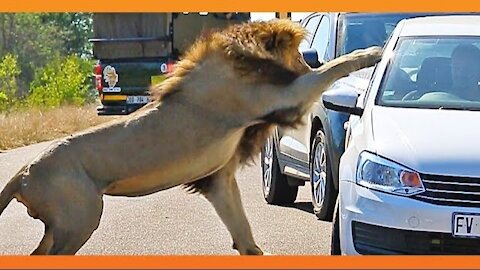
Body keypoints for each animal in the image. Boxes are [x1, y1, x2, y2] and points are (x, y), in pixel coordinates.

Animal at [0, 19, 382, 255]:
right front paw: (372, 53)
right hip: (80, 217)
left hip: (63, 224)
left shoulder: (218, 179)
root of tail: (23, 174)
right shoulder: (283, 96)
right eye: (301, 56)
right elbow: (332, 69)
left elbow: (243, 234)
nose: (309, 60)